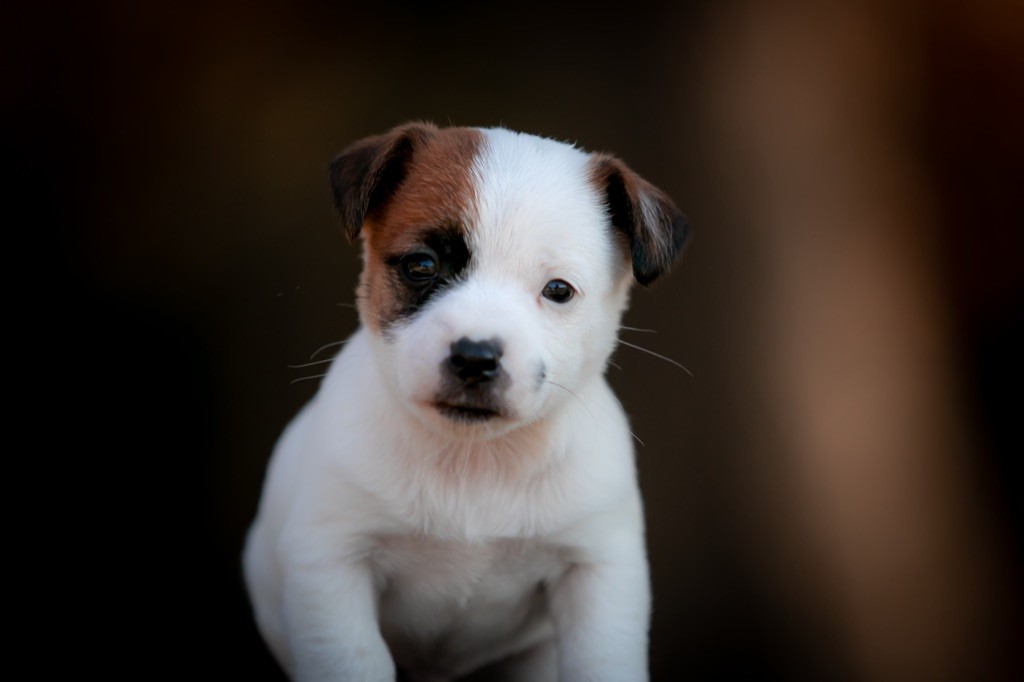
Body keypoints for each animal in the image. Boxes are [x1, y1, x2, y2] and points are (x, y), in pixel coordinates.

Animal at [240, 123, 688, 679]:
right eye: (421, 265)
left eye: (558, 290)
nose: (475, 357)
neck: (474, 461)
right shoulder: (332, 563)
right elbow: (355, 659)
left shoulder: (598, 573)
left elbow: (600, 661)